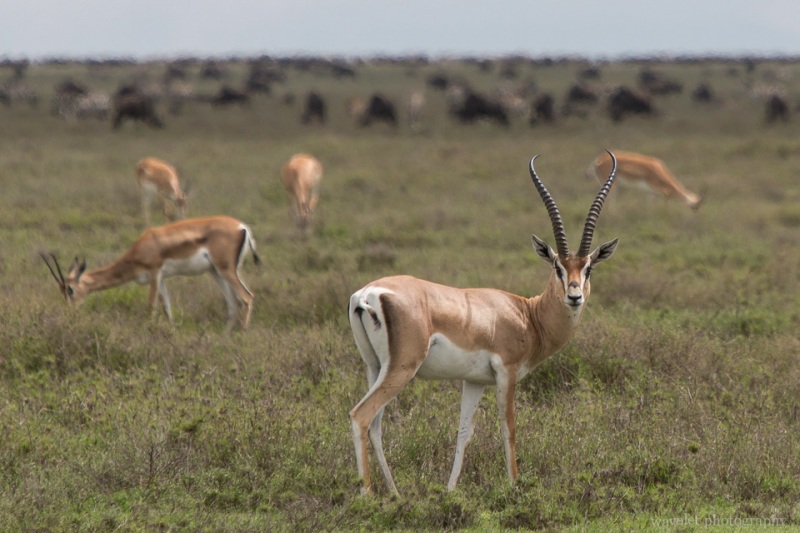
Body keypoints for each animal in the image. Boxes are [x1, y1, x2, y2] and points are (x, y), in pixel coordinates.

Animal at [42, 216, 260, 331]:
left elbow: (151, 307)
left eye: (70, 289)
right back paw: (226, 335)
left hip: (225, 270)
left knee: (247, 297)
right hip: (216, 272)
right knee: (233, 303)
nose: (70, 312)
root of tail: (242, 227)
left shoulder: (155, 274)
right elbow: (167, 307)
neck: (140, 249)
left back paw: (241, 334)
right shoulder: (161, 279)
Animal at [348, 153, 620, 495]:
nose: (574, 296)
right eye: (557, 267)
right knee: (361, 416)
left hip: (374, 367)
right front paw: (514, 486)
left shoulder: (474, 381)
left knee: (376, 426)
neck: (527, 314)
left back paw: (395, 494)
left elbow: (464, 432)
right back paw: (368, 495)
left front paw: (450, 492)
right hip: (402, 368)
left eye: (588, 269)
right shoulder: (508, 372)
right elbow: (509, 428)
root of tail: (366, 294)